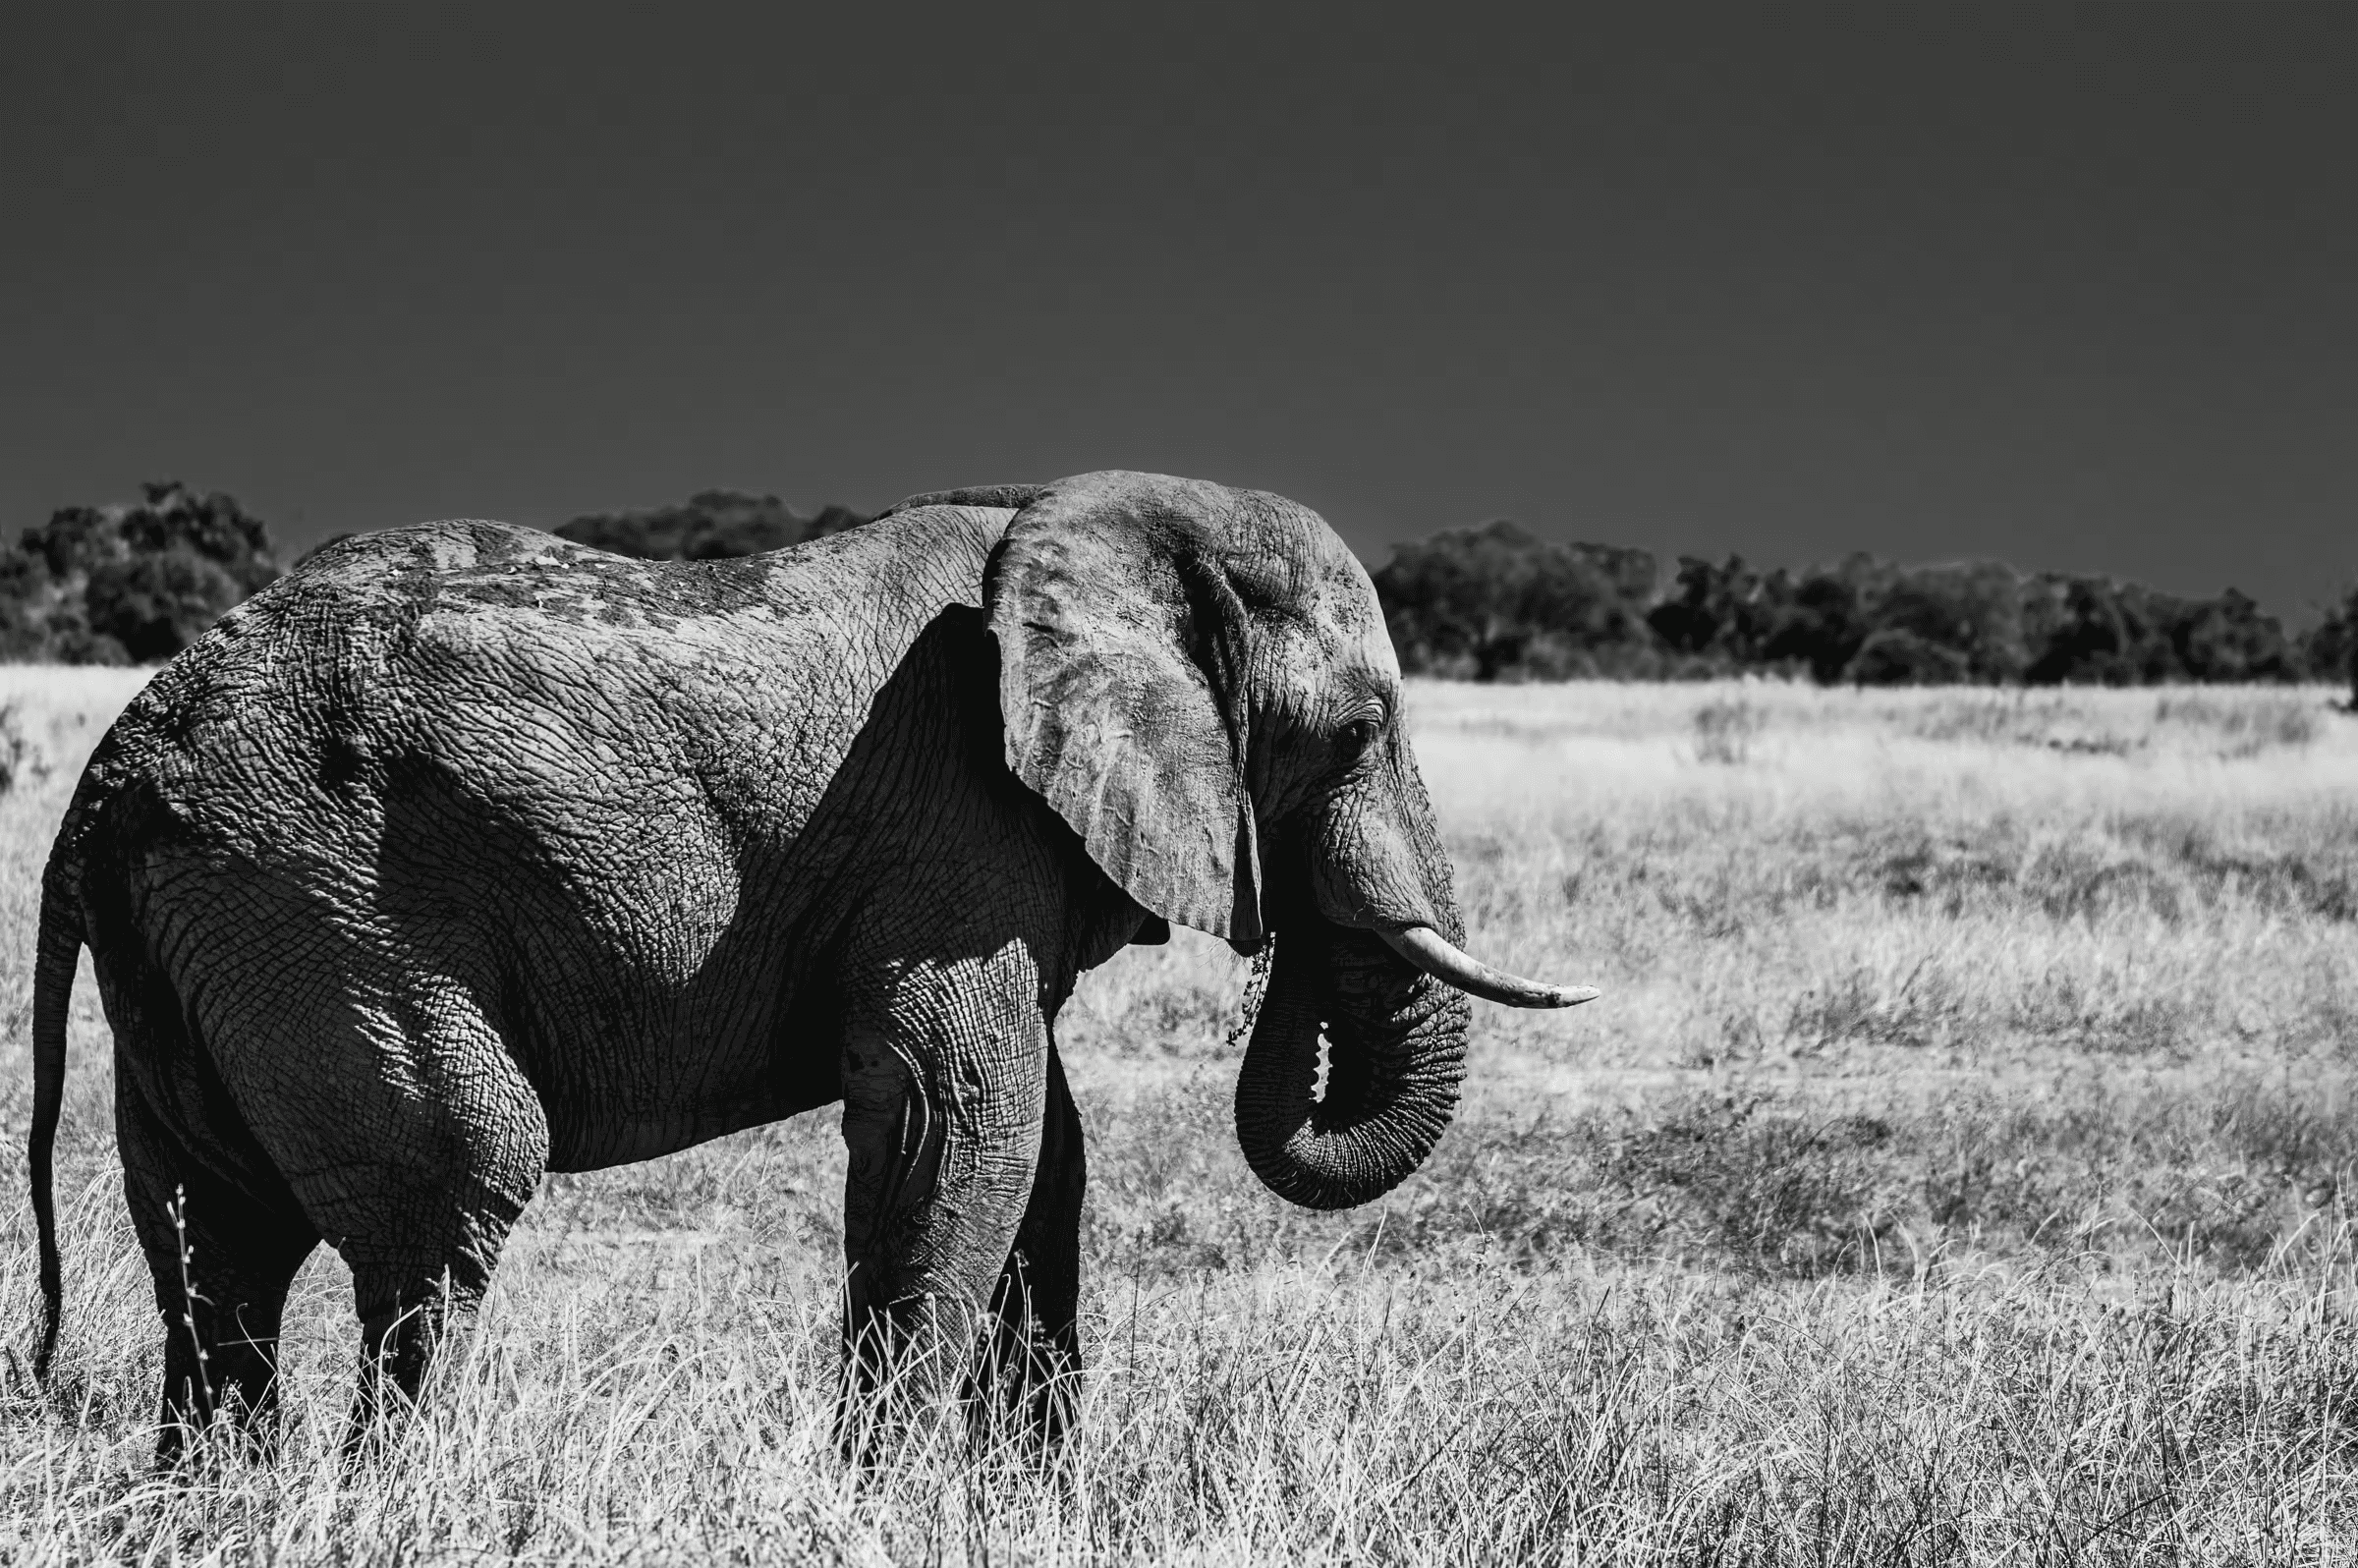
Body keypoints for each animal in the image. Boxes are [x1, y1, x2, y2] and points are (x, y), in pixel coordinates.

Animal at [25, 469, 1593, 1460]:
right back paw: (398, 1502)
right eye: (1354, 735)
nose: (1286, 953)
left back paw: (222, 1505)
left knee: (220, 1238)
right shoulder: (955, 826)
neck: (1086, 515)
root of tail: (108, 774)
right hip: (313, 899)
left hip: (212, 935)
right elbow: (964, 1120)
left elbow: (1047, 1151)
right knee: (452, 1186)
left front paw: (1020, 1503)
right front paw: (882, 1497)